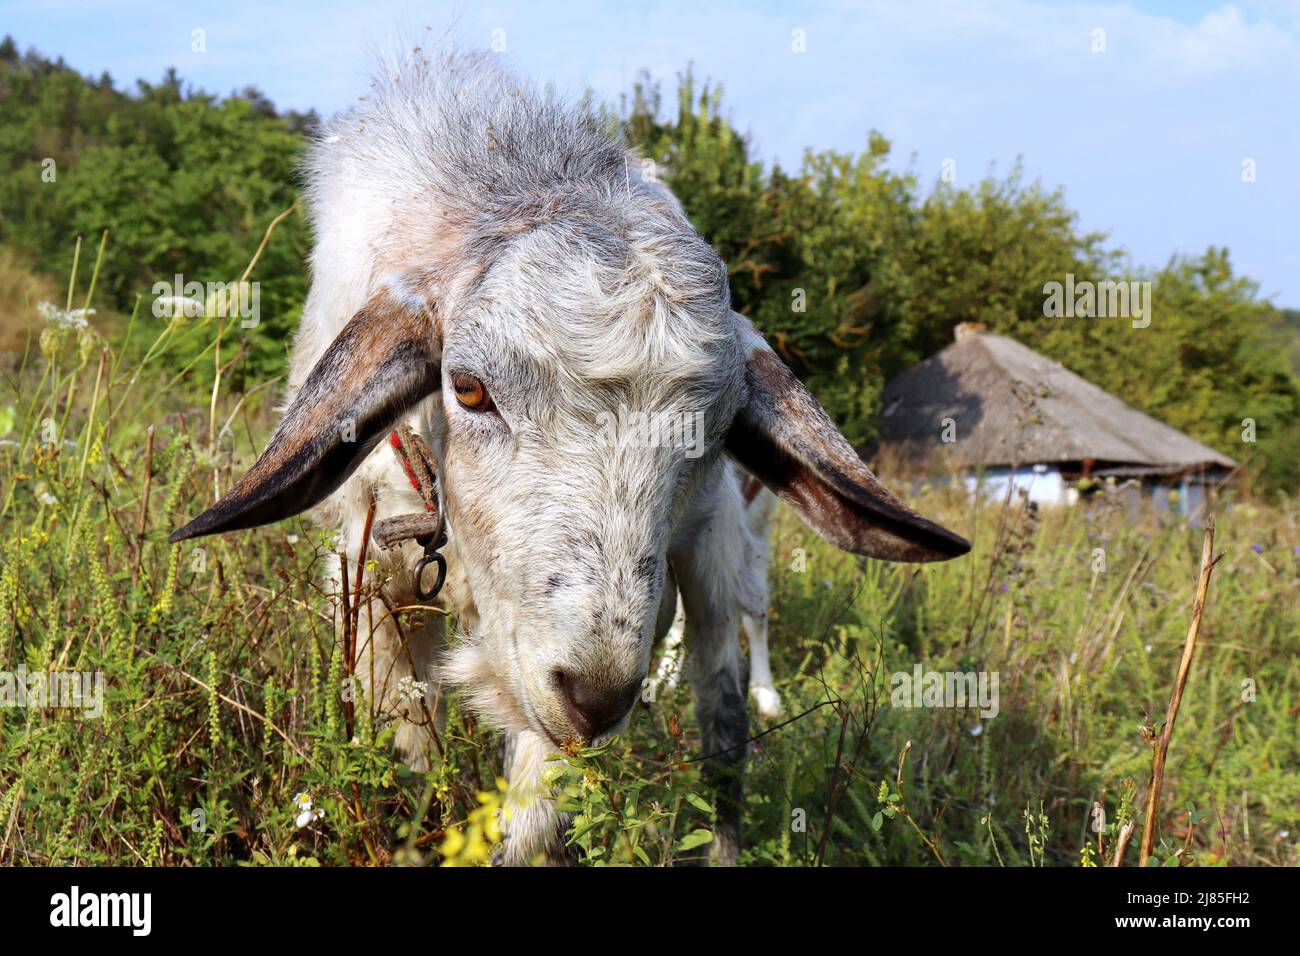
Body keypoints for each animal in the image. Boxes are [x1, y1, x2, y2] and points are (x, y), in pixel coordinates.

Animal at [171, 48, 969, 865]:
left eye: (716, 434)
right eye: (468, 387)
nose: (597, 698)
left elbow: (532, 818)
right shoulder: (375, 575)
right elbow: (408, 745)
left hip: (717, 555)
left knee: (726, 710)